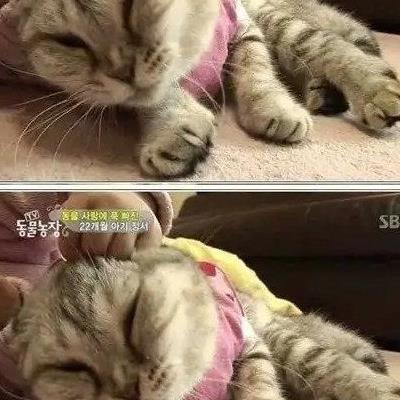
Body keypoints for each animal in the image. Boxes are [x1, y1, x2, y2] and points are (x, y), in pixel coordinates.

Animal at [13, 0, 400, 178]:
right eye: (68, 41)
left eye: (133, 9)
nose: (121, 71)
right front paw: (172, 127)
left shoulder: (244, 24)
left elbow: (258, 68)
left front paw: (272, 107)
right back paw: (323, 91)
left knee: (330, 45)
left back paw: (367, 87)